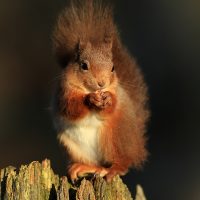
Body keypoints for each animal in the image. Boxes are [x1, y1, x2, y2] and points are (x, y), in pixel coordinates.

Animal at [52, 0, 149, 182]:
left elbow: (112, 106)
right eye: (84, 65)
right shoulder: (64, 92)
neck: (89, 89)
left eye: (113, 68)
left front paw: (108, 100)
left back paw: (113, 169)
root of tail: (137, 147)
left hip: (113, 137)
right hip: (72, 145)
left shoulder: (116, 91)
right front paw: (89, 100)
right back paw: (84, 167)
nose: (101, 83)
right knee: (97, 164)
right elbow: (71, 108)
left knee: (123, 163)